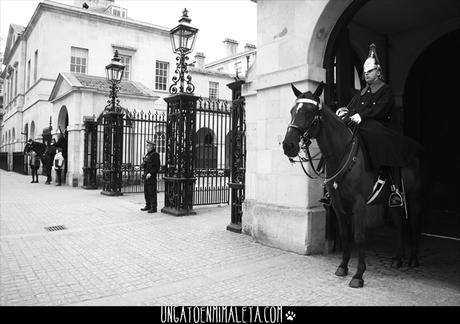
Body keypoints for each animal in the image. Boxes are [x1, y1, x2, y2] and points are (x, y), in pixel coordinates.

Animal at [282, 82, 426, 288]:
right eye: (293, 111)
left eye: (310, 112)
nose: (288, 146)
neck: (341, 153)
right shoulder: (338, 204)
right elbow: (344, 235)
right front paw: (343, 267)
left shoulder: (359, 205)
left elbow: (359, 236)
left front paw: (359, 275)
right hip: (391, 203)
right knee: (400, 225)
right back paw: (398, 258)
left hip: (414, 198)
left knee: (413, 224)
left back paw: (413, 259)